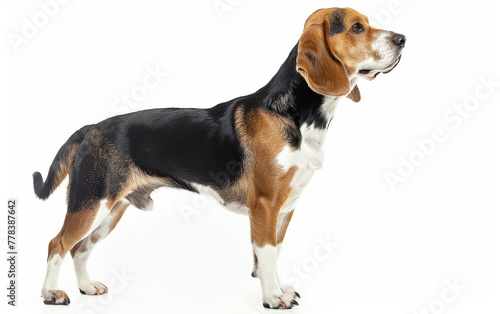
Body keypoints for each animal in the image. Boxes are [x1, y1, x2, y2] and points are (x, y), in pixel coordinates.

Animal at [34, 6, 402, 310]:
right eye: (357, 27)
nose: (403, 39)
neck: (296, 117)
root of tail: (90, 128)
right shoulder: (266, 204)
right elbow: (266, 254)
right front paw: (272, 298)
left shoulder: (285, 207)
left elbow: (274, 252)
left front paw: (279, 289)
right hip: (90, 202)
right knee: (57, 244)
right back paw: (51, 294)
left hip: (111, 209)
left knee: (80, 248)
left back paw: (86, 287)